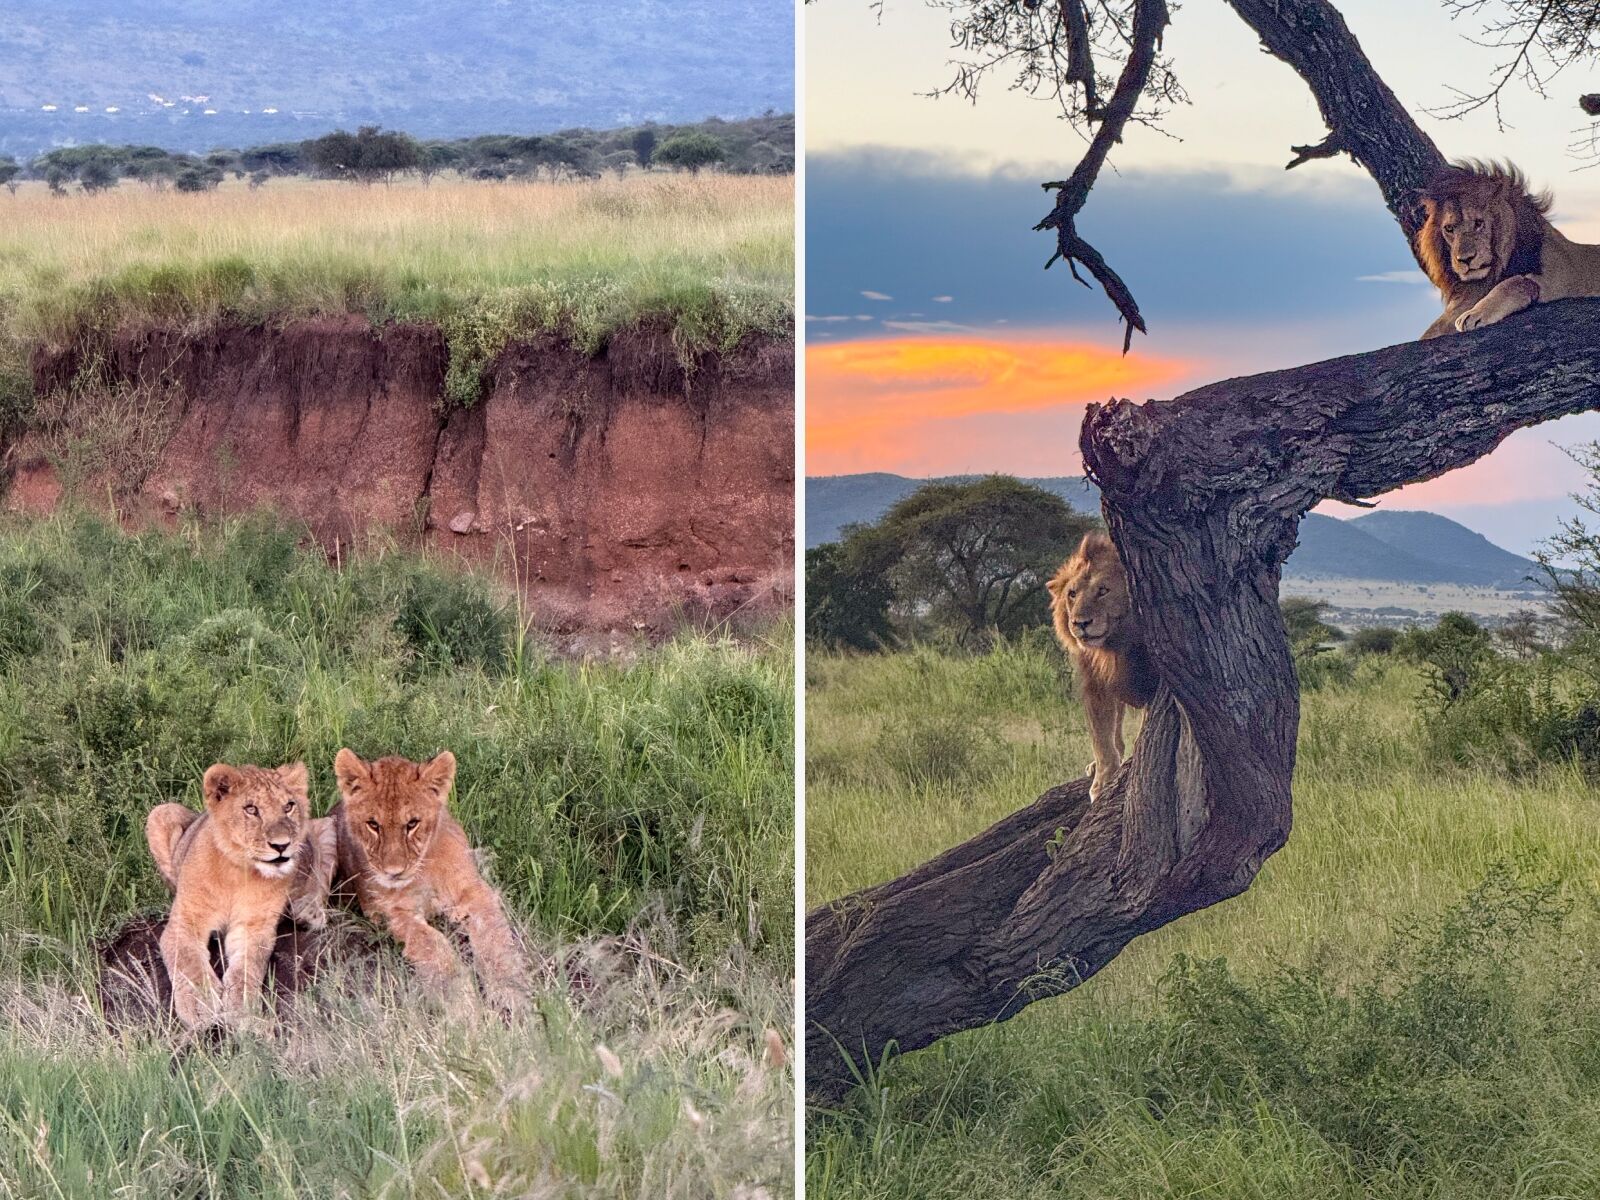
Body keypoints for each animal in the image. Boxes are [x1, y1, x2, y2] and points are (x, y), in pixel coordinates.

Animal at [146, 762, 334, 1029]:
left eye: (288, 806)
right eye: (251, 809)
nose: (281, 845)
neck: (239, 872)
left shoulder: (253, 927)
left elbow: (247, 967)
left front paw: (241, 1007)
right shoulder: (184, 922)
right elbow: (186, 960)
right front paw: (200, 1004)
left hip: (322, 829)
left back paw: (309, 914)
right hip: (160, 812)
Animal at [329, 748, 529, 1015]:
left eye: (412, 823)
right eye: (373, 824)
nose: (394, 872)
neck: (422, 871)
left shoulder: (475, 891)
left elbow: (495, 938)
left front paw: (511, 990)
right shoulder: (392, 913)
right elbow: (434, 946)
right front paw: (463, 1004)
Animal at [1047, 532, 1158, 801]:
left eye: (1103, 591)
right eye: (1072, 594)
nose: (1080, 623)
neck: (1114, 646)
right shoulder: (1094, 681)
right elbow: (1101, 735)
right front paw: (1103, 779)